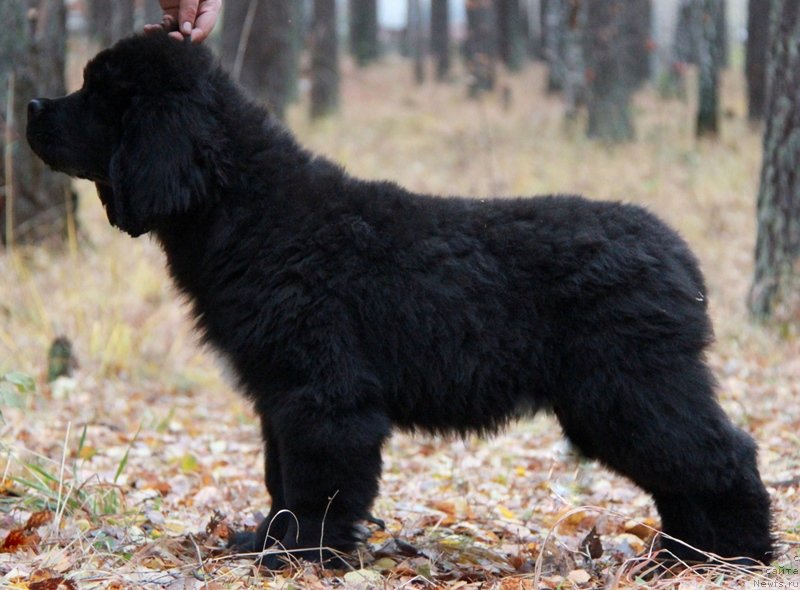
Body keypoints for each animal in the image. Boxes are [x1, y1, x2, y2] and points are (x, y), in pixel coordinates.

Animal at [26, 33, 776, 568]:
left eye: (97, 93)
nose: (31, 108)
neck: (246, 207)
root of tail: (679, 256)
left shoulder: (323, 395)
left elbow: (315, 483)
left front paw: (300, 556)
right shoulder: (279, 395)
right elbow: (278, 476)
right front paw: (264, 542)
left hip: (626, 388)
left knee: (723, 454)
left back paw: (735, 556)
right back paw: (679, 555)